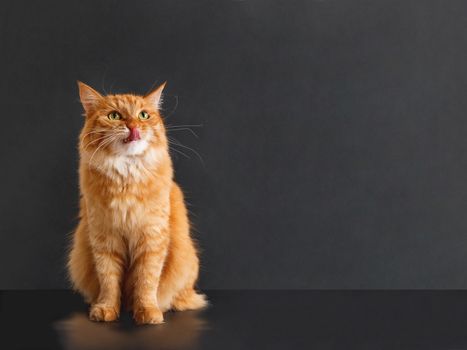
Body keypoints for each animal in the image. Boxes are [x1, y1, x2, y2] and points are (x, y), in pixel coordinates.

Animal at [67, 80, 207, 324]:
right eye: (114, 116)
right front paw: (106, 309)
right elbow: (109, 282)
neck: (126, 176)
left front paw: (147, 312)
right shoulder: (105, 240)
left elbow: (146, 282)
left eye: (143, 115)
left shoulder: (152, 238)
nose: (133, 127)